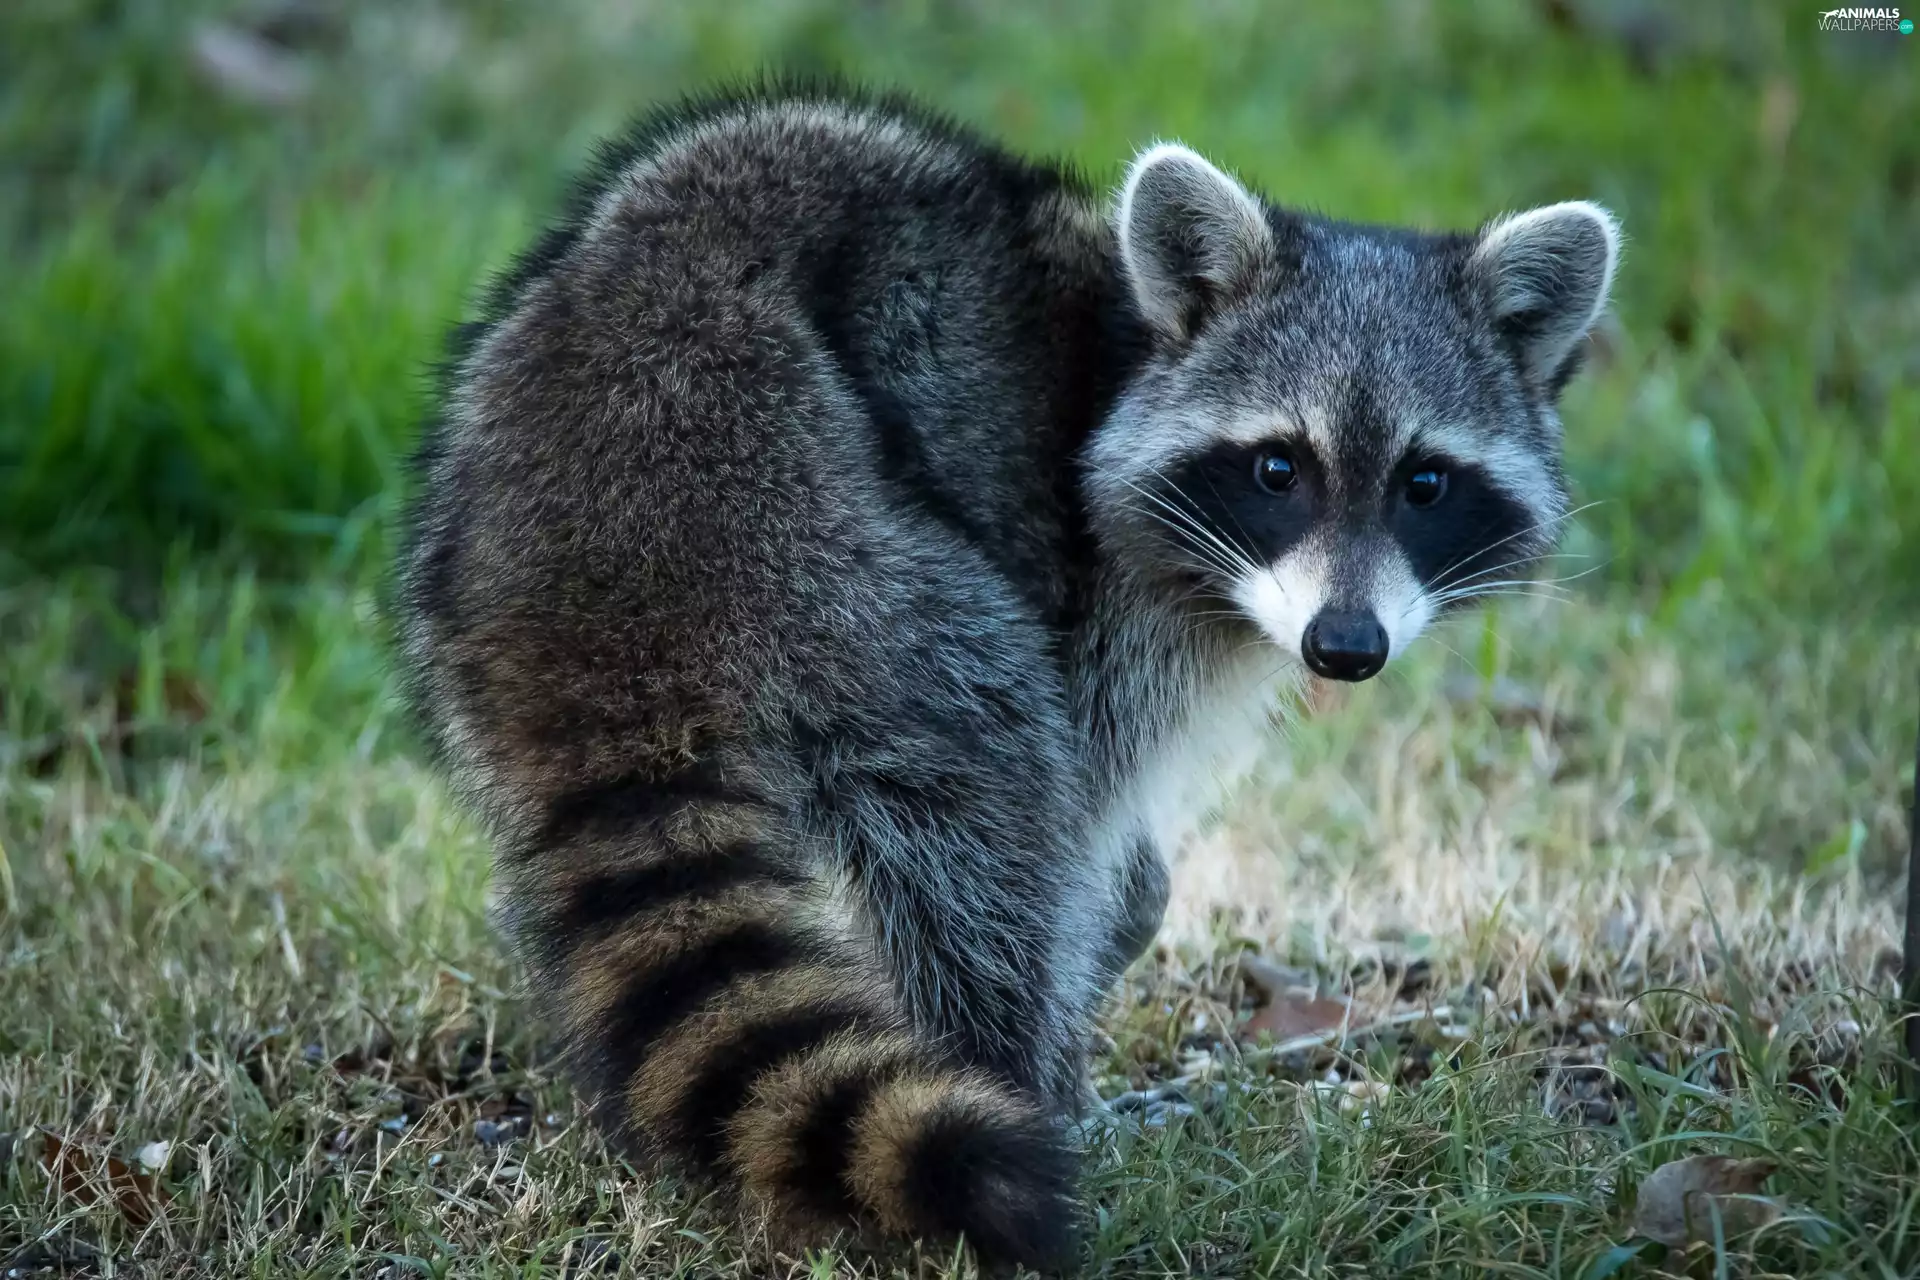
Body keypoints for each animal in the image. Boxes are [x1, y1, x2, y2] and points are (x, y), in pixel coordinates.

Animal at [397, 82, 1618, 1269]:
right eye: (1280, 468)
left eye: (1425, 483)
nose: (1344, 648)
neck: (1133, 345)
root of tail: (599, 550)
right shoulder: (1096, 585)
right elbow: (1078, 810)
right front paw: (1099, 960)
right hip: (819, 523)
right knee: (984, 786)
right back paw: (1011, 1072)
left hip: (463, 582)